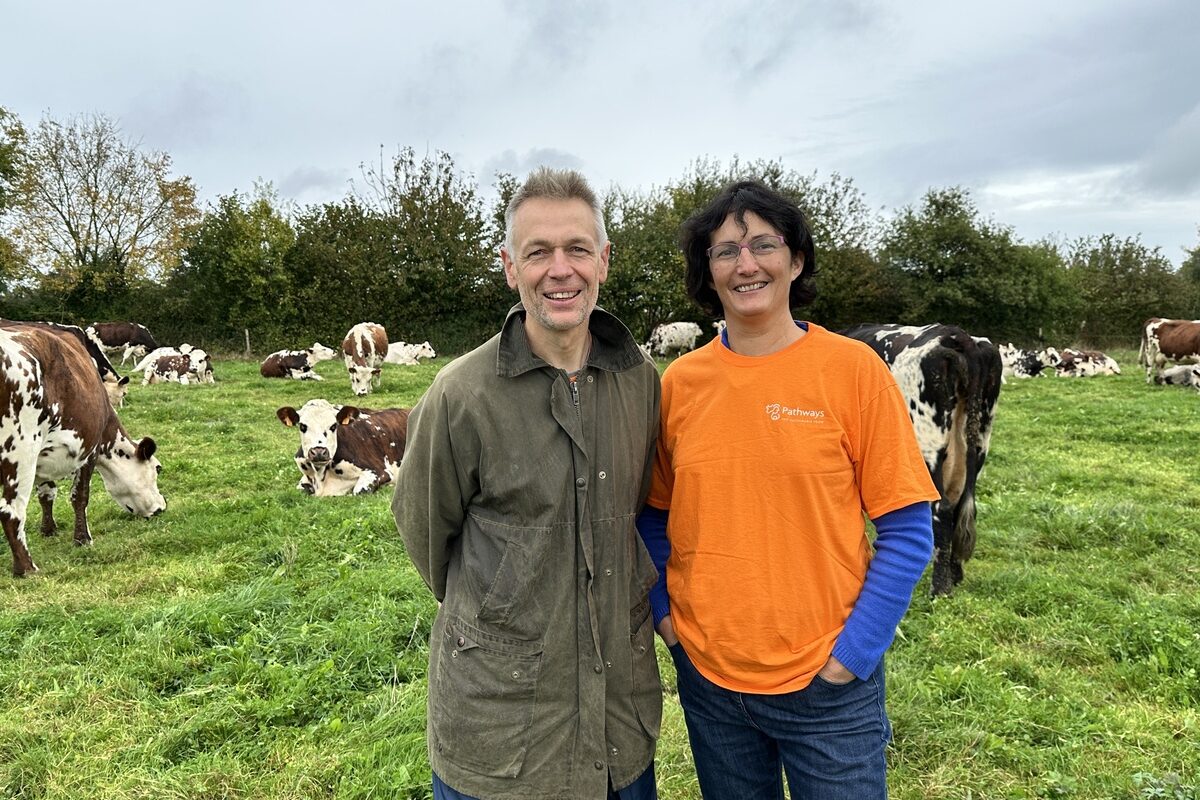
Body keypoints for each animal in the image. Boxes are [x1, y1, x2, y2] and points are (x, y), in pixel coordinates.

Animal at [840, 323, 1008, 594]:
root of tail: (957, 336)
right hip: (979, 440)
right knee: (963, 504)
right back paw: (955, 576)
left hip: (926, 445)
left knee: (942, 509)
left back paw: (939, 589)